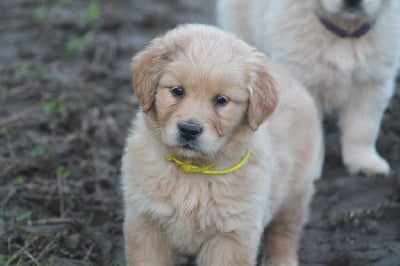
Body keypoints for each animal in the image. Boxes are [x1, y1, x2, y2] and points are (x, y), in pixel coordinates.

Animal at [121, 23, 322, 264]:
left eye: (221, 100)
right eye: (177, 91)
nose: (189, 130)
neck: (192, 170)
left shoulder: (230, 236)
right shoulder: (146, 222)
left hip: (294, 194)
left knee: (285, 233)